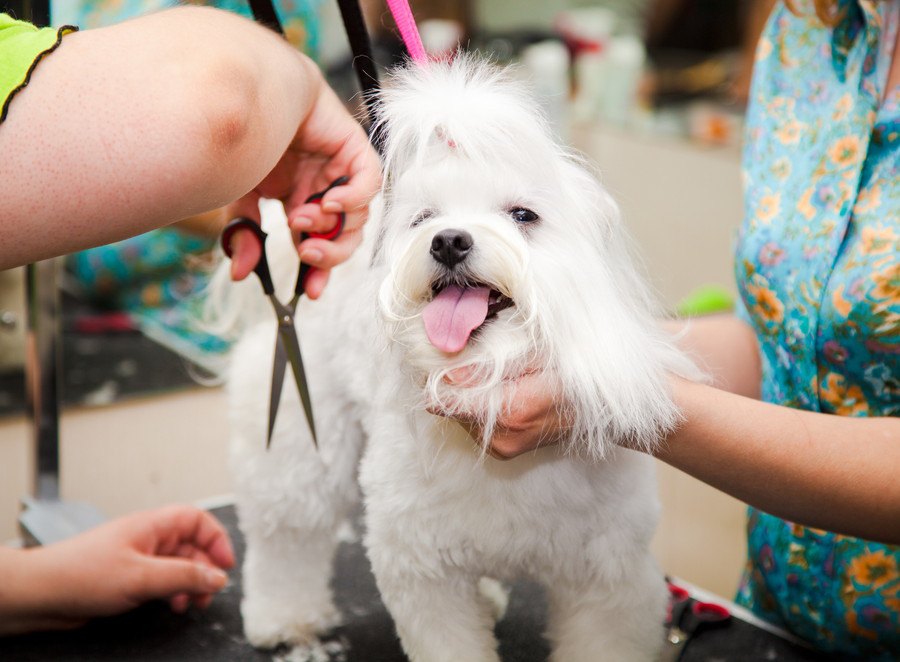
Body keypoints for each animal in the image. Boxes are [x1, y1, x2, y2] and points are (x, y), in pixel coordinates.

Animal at [214, 55, 700, 662]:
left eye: (523, 215)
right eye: (424, 218)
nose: (448, 240)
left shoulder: (611, 579)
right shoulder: (421, 570)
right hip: (296, 440)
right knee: (288, 536)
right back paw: (283, 618)